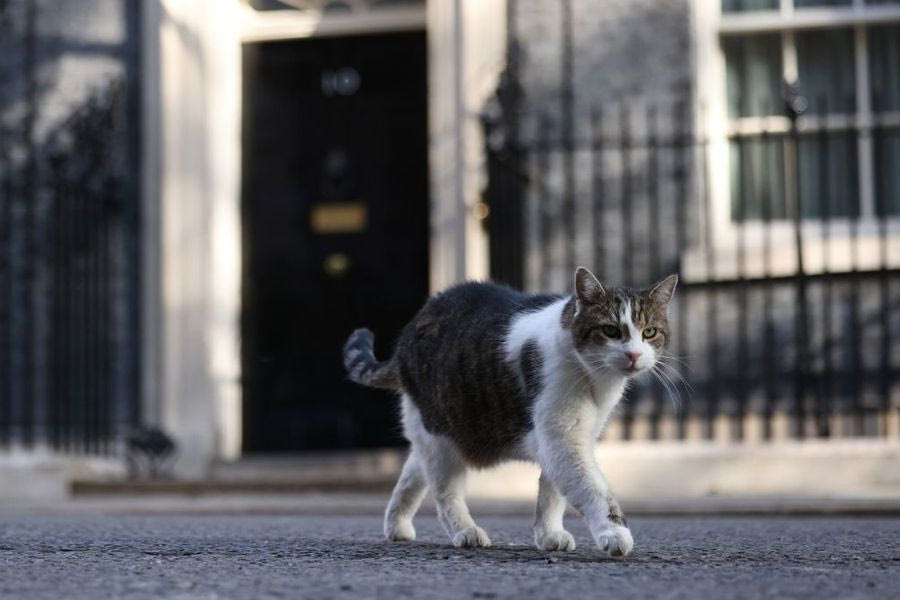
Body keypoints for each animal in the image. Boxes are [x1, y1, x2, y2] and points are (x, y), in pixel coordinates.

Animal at [342, 268, 676, 556]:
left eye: (649, 332)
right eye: (610, 330)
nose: (634, 355)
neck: (596, 380)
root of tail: (412, 327)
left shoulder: (570, 437)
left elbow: (551, 493)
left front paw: (548, 534)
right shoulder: (562, 439)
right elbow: (593, 489)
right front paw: (614, 533)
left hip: (435, 430)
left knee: (413, 471)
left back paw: (396, 525)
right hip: (441, 436)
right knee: (444, 491)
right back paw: (466, 531)